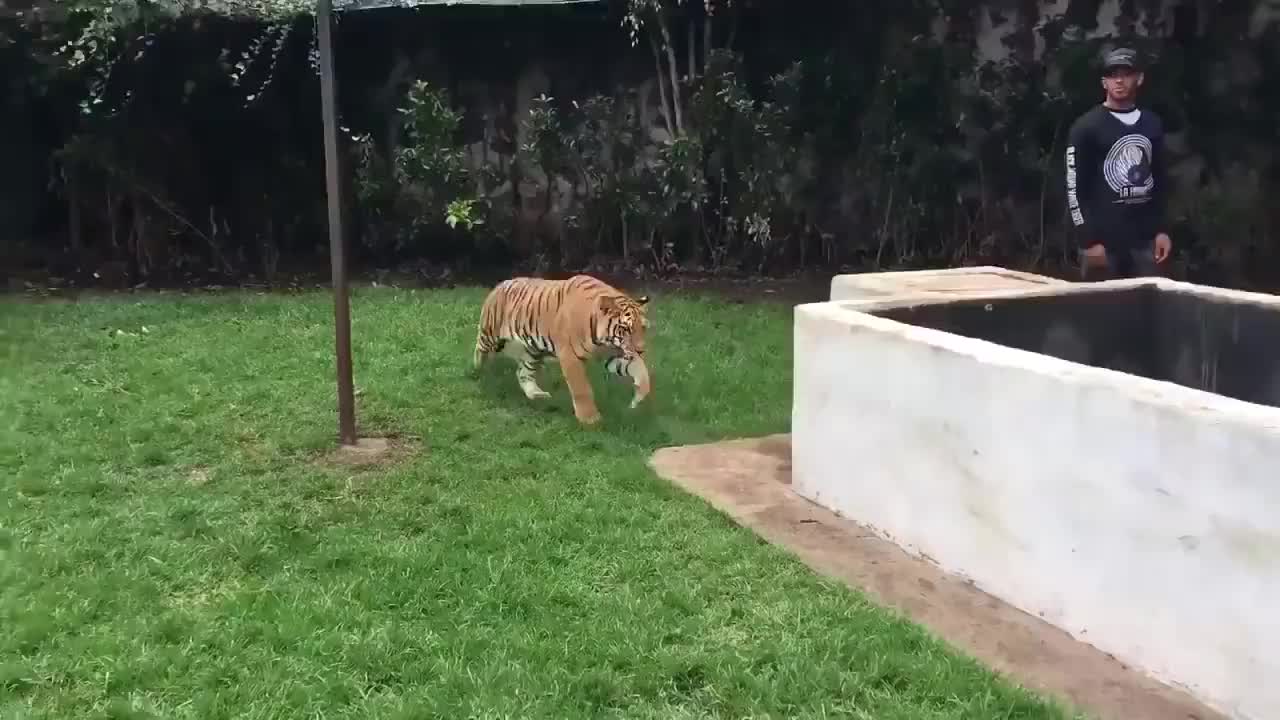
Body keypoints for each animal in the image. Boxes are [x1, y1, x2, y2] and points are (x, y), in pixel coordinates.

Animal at [472, 274, 652, 425]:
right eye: (626, 329)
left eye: (642, 328)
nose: (641, 350)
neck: (604, 341)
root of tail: (501, 284)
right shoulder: (570, 355)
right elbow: (581, 388)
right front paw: (590, 419)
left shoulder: (616, 353)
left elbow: (640, 371)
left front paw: (639, 396)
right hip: (490, 334)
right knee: (479, 348)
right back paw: (477, 371)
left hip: (532, 350)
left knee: (523, 373)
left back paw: (536, 394)